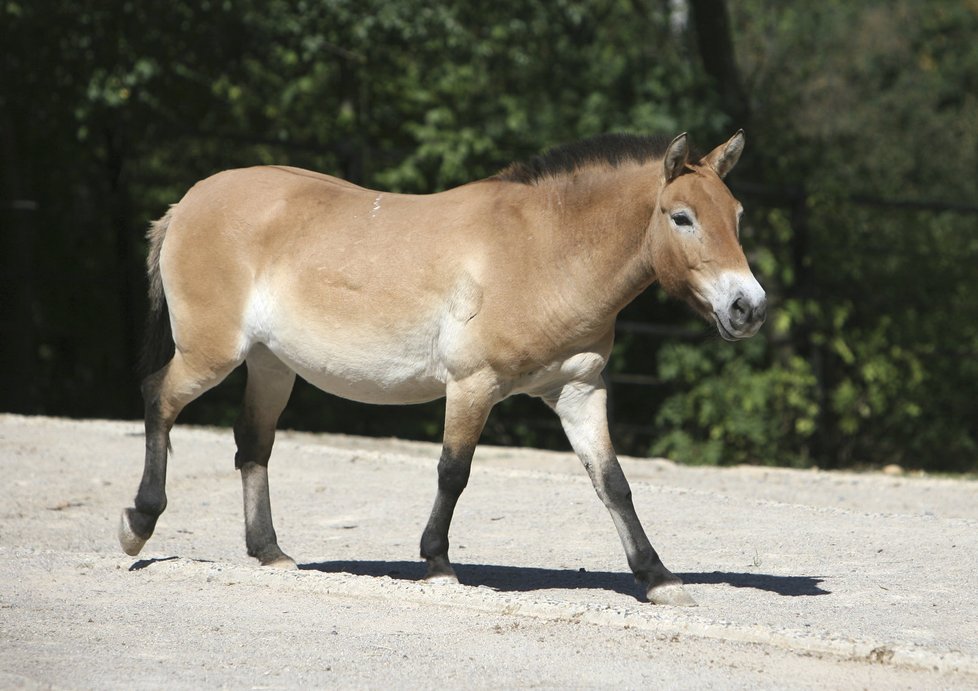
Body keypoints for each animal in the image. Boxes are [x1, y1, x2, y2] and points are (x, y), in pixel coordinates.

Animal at [120, 130, 764, 604]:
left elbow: (614, 483)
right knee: (159, 400)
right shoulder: (473, 386)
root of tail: (184, 206)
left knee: (253, 444)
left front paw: (658, 578)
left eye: (737, 214)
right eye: (681, 217)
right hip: (211, 355)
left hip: (271, 365)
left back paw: (269, 552)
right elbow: (453, 473)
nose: (748, 307)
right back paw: (140, 524)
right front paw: (436, 563)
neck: (543, 250)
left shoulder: (578, 391)